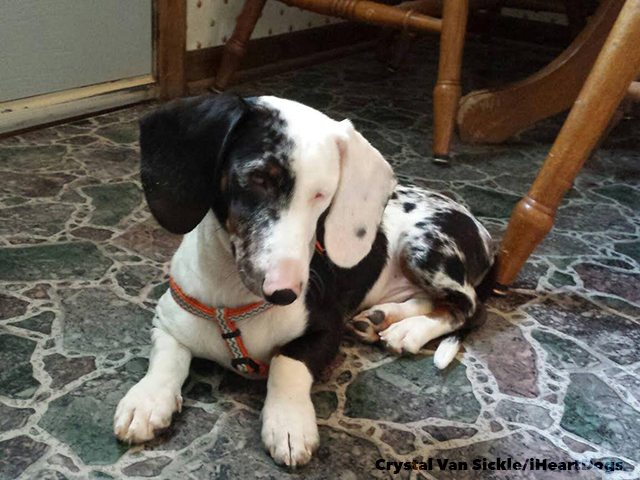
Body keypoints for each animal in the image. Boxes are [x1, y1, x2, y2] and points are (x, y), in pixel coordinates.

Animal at [113, 94, 495, 467]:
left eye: (323, 194)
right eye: (259, 178)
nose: (285, 293)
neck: (233, 299)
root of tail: (483, 232)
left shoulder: (326, 329)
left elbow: (288, 361)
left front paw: (288, 422)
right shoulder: (167, 321)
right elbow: (167, 358)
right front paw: (148, 399)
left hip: (424, 247)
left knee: (467, 307)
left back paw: (409, 332)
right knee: (431, 301)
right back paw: (381, 318)